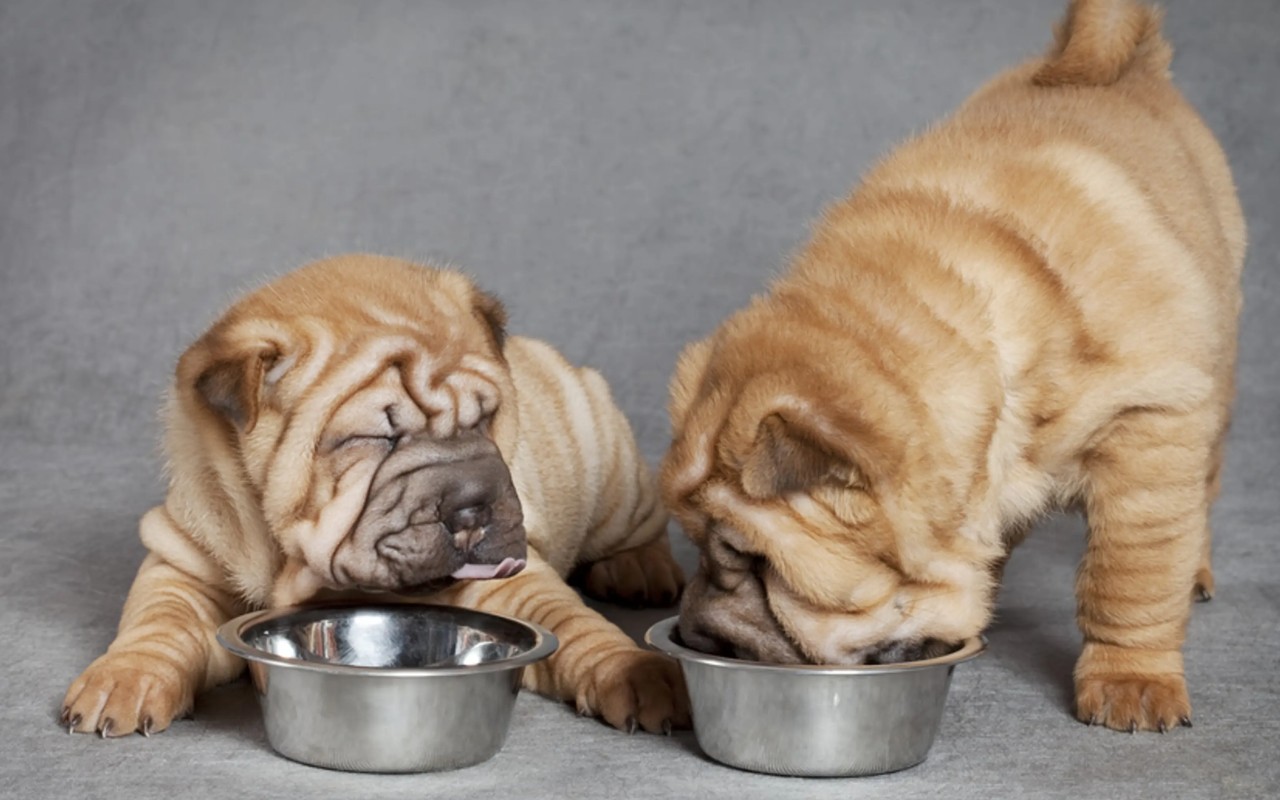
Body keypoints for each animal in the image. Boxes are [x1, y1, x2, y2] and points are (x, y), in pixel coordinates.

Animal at [62, 254, 691, 737]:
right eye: (378, 439)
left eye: (485, 419)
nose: (473, 506)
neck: (293, 563)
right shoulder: (184, 560)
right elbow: (159, 621)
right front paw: (123, 680)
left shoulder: (512, 583)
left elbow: (571, 620)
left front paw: (636, 672)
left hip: (612, 469)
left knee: (637, 529)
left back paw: (638, 570)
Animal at [665, 0, 1244, 732]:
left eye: (748, 559)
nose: (695, 632)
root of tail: (1134, 69)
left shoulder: (1151, 424)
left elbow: (1130, 576)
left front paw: (1130, 680)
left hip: (1215, 382)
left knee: (1203, 490)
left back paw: (1194, 572)